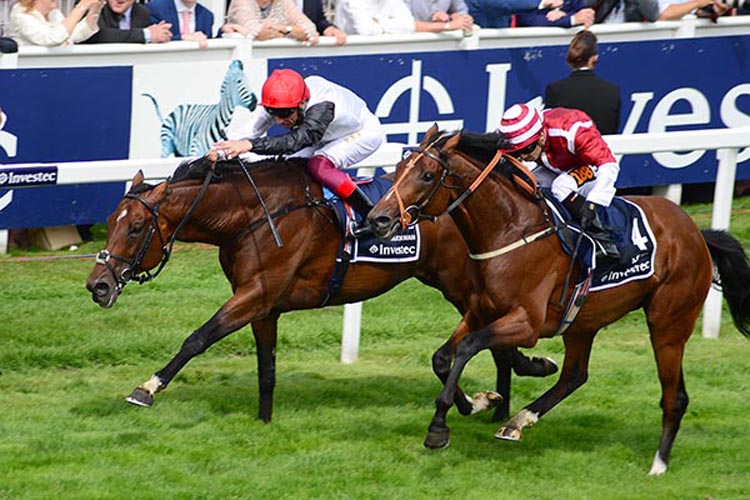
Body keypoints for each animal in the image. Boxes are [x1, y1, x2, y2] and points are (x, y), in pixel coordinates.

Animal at [85, 155, 560, 422]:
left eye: (137, 227)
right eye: (110, 222)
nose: (98, 285)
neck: (254, 214)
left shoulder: (254, 294)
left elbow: (198, 337)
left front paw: (147, 388)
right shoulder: (264, 305)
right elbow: (267, 367)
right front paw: (264, 423)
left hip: (462, 284)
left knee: (493, 342)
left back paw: (500, 395)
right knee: (494, 345)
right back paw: (502, 398)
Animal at [368, 126, 750, 476]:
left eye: (427, 175)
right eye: (398, 169)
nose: (378, 218)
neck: (509, 230)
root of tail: (696, 233)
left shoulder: (527, 322)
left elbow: (467, 348)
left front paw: (439, 429)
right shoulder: (480, 310)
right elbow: (442, 358)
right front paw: (480, 402)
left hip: (668, 322)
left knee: (675, 396)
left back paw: (658, 464)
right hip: (583, 322)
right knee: (575, 375)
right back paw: (518, 420)